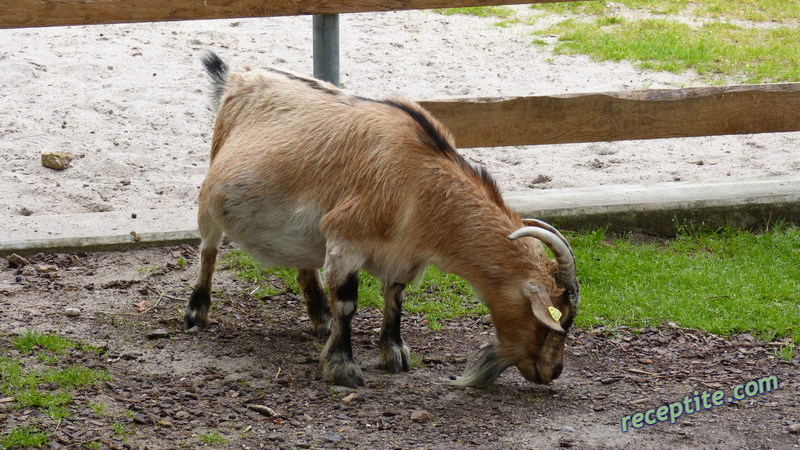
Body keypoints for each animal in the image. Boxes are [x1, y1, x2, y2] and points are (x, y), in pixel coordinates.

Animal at [184, 52, 580, 388]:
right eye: (557, 318)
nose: (553, 372)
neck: (418, 181)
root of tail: (236, 77)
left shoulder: (403, 253)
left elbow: (395, 297)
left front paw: (395, 355)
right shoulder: (345, 239)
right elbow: (348, 304)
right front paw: (343, 368)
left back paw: (320, 317)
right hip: (209, 195)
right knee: (208, 248)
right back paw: (196, 313)